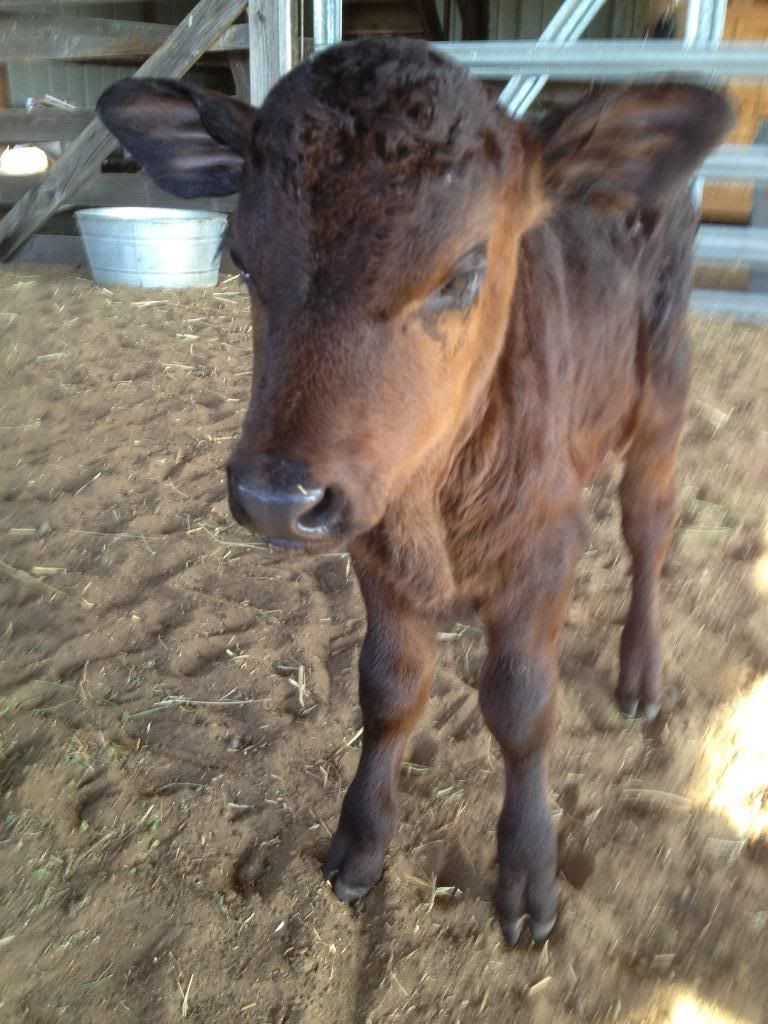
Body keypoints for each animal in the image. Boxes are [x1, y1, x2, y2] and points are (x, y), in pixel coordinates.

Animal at [97, 38, 732, 945]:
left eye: (463, 273)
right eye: (241, 260)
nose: (276, 496)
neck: (435, 502)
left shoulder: (547, 542)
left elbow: (522, 704)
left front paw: (528, 872)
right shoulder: (374, 546)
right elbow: (389, 690)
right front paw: (360, 842)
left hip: (663, 393)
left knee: (650, 526)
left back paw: (641, 672)